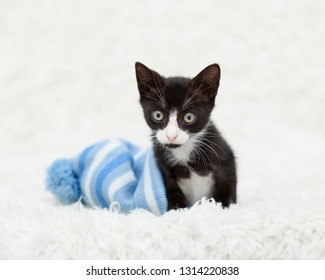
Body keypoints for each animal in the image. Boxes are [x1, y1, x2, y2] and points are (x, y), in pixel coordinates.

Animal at [134, 61, 235, 210]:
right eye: (158, 115)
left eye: (189, 117)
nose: (171, 136)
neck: (184, 151)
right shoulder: (161, 164)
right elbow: (170, 186)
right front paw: (177, 208)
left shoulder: (223, 154)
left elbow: (227, 182)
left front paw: (222, 206)